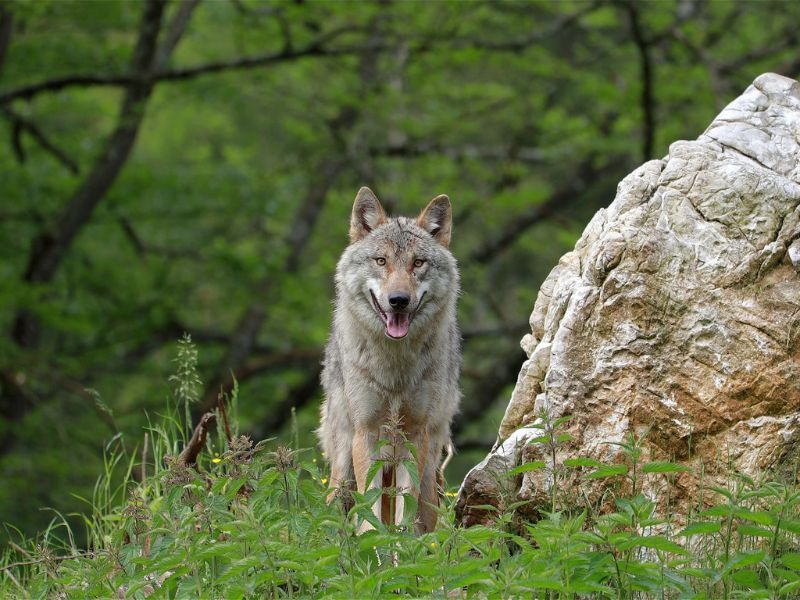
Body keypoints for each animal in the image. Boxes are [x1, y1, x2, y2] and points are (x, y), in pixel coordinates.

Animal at [318, 186, 461, 534]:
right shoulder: (366, 434)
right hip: (343, 466)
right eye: (381, 261)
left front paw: (400, 549)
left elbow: (405, 513)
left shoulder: (414, 436)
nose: (398, 300)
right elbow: (368, 514)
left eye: (418, 263)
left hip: (428, 469)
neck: (395, 369)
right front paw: (374, 546)